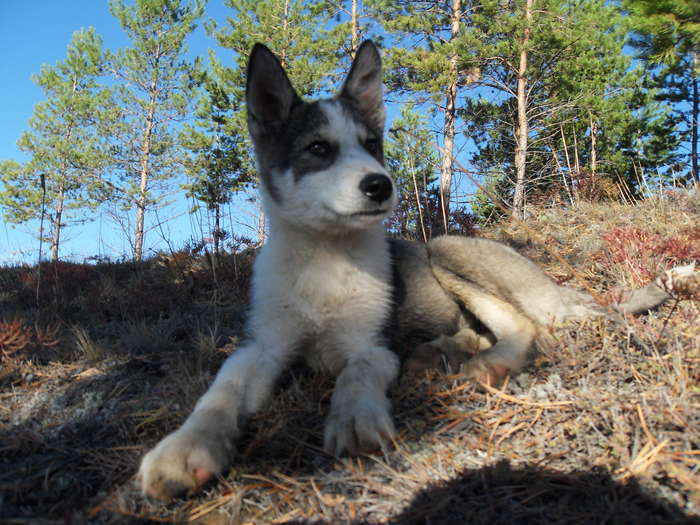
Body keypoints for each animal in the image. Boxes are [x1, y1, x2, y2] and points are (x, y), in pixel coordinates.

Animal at [135, 41, 696, 500]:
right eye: (318, 149)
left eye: (371, 145)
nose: (380, 185)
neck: (326, 260)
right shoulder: (262, 347)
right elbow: (221, 389)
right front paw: (183, 449)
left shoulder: (374, 344)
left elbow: (358, 371)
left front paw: (354, 416)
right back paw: (444, 350)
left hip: (448, 251)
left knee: (525, 325)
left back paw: (483, 364)